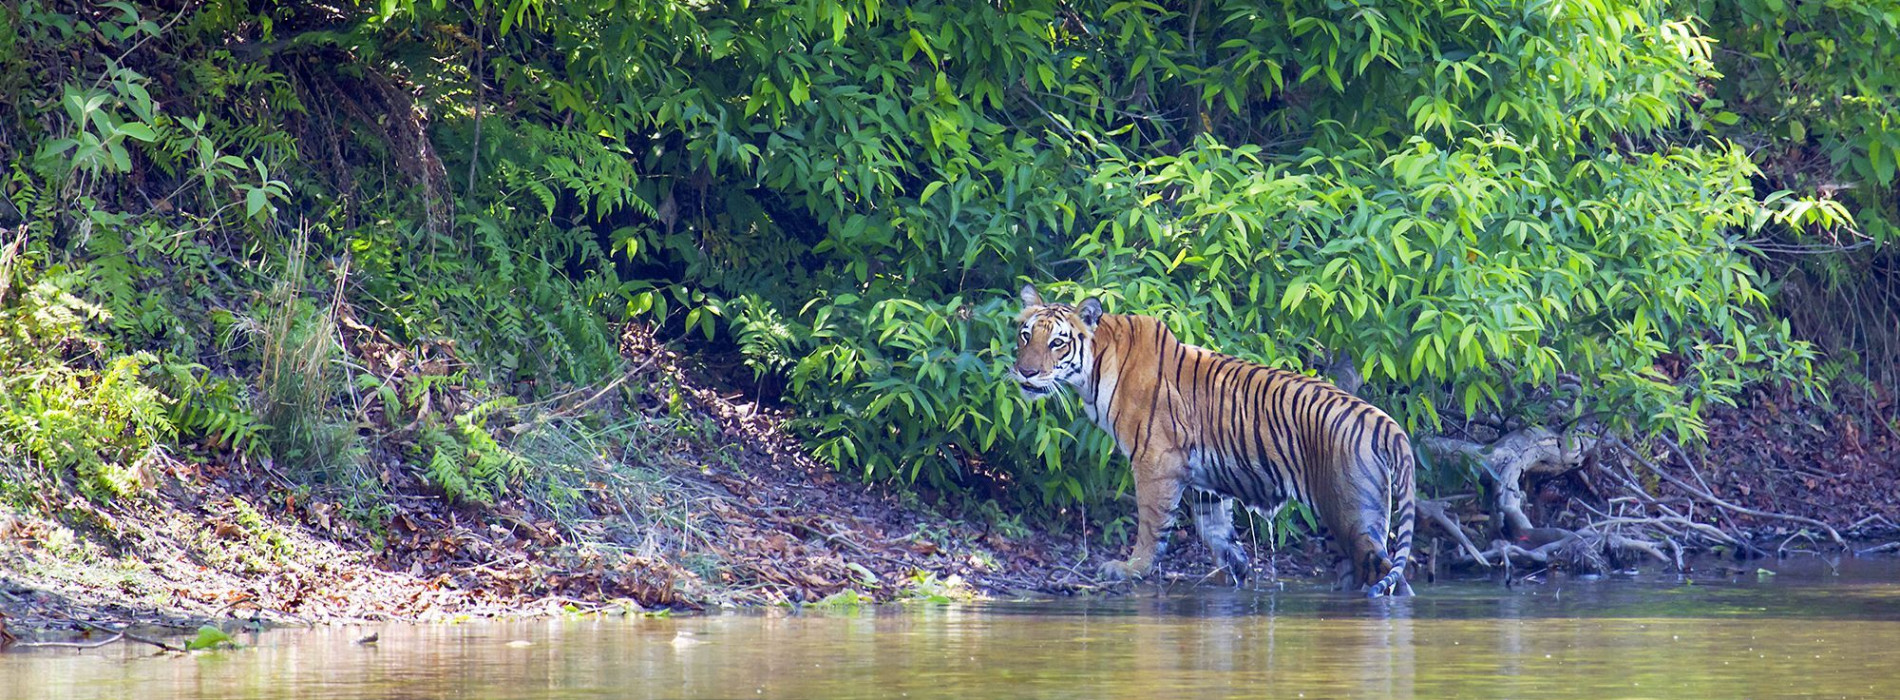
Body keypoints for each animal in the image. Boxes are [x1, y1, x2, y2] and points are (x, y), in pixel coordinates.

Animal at [1010, 285, 1413, 597]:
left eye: (1058, 343)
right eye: (1026, 335)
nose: (1025, 372)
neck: (1095, 368)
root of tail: (1384, 422)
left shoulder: (1156, 461)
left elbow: (1151, 523)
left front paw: (1130, 568)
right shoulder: (1206, 480)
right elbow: (1214, 531)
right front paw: (1235, 570)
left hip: (1353, 516)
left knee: (1390, 578)